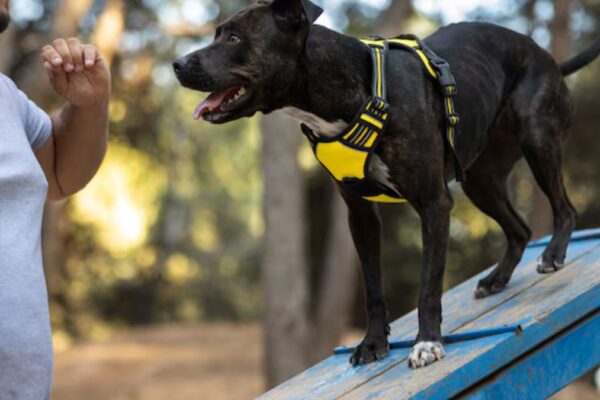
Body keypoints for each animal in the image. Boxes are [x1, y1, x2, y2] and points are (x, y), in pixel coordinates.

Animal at [172, 0, 600, 368]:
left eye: (233, 38)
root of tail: (547, 57)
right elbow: (372, 289)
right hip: (481, 180)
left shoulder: (433, 204)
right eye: (217, 33)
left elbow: (428, 285)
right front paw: (373, 343)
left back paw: (553, 254)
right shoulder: (360, 215)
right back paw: (496, 279)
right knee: (520, 229)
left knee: (565, 208)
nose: (177, 64)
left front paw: (427, 343)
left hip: (536, 138)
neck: (350, 89)